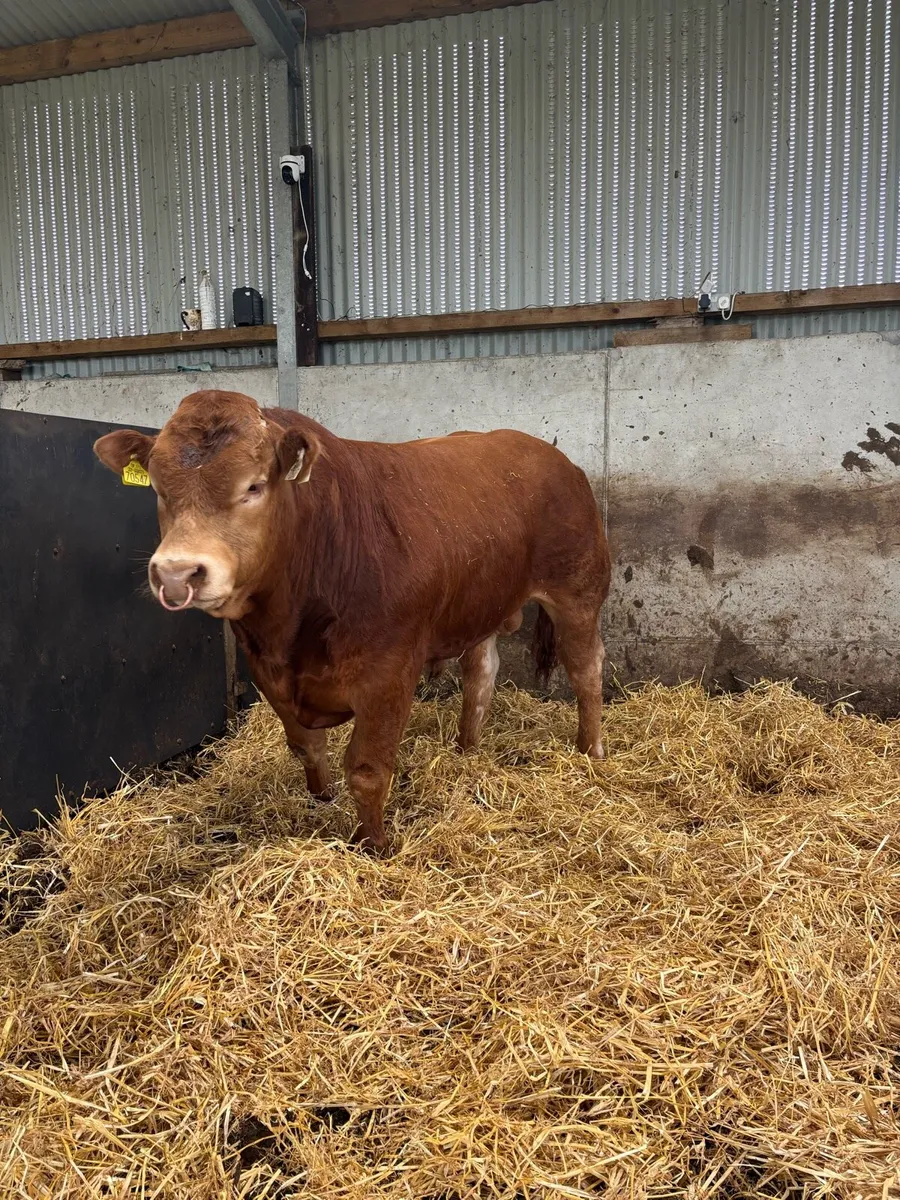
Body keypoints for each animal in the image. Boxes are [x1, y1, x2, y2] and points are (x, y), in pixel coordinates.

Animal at [94, 390, 611, 853]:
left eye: (254, 486)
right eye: (159, 490)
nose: (177, 573)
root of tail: (553, 455)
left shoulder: (389, 672)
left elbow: (367, 770)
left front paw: (372, 845)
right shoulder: (267, 671)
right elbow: (307, 748)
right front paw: (321, 801)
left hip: (579, 590)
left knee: (586, 670)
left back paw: (590, 752)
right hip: (480, 601)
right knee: (481, 674)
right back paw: (466, 749)